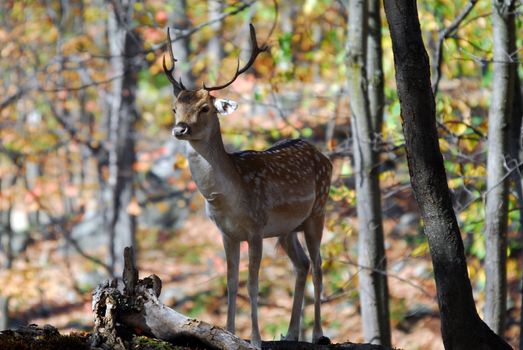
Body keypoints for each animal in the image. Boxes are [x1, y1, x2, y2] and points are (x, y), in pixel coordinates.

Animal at [163, 24, 332, 348]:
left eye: (205, 108)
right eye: (176, 108)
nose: (180, 129)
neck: (228, 196)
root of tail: (323, 156)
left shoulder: (255, 228)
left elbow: (253, 284)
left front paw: (254, 339)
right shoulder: (226, 233)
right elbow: (231, 283)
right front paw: (228, 331)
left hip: (318, 211)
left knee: (318, 265)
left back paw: (317, 333)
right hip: (287, 228)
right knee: (302, 263)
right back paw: (291, 332)